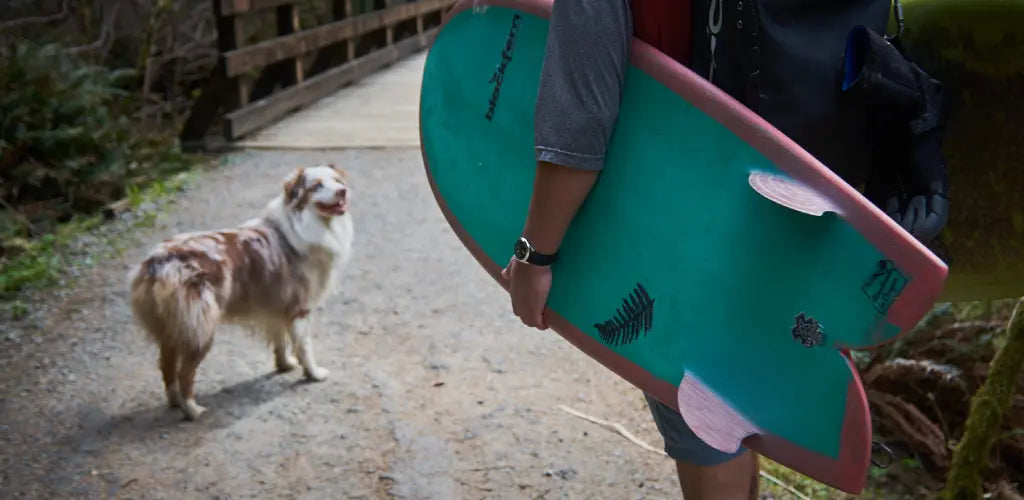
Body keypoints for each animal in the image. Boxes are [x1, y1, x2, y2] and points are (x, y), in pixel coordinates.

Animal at [128, 163, 356, 418]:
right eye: (316, 186)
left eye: (337, 180)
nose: (343, 191)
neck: (305, 225)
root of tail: (156, 262)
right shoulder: (300, 308)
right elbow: (304, 346)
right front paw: (314, 374)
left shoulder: (277, 307)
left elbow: (281, 341)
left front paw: (285, 365)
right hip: (199, 328)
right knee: (184, 372)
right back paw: (193, 410)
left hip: (173, 328)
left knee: (166, 366)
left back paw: (175, 401)